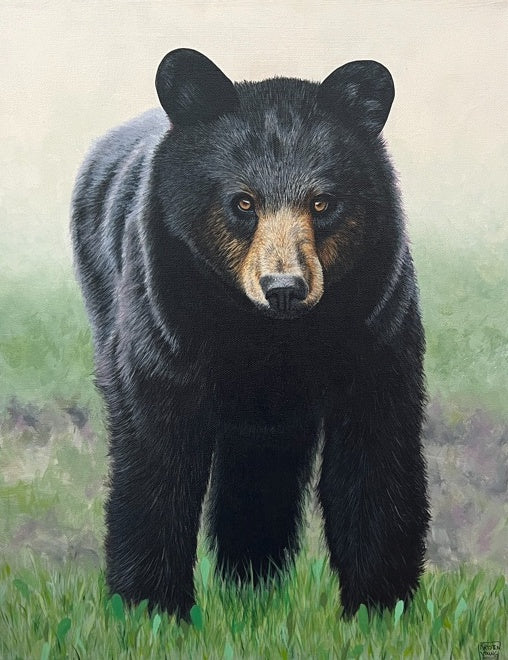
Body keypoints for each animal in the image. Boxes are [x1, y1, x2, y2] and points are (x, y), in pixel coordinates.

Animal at [71, 48, 430, 619]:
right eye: (243, 202)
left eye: (323, 202)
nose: (284, 287)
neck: (268, 337)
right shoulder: (166, 320)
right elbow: (157, 454)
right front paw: (151, 609)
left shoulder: (377, 321)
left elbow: (375, 453)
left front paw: (381, 608)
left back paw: (253, 585)